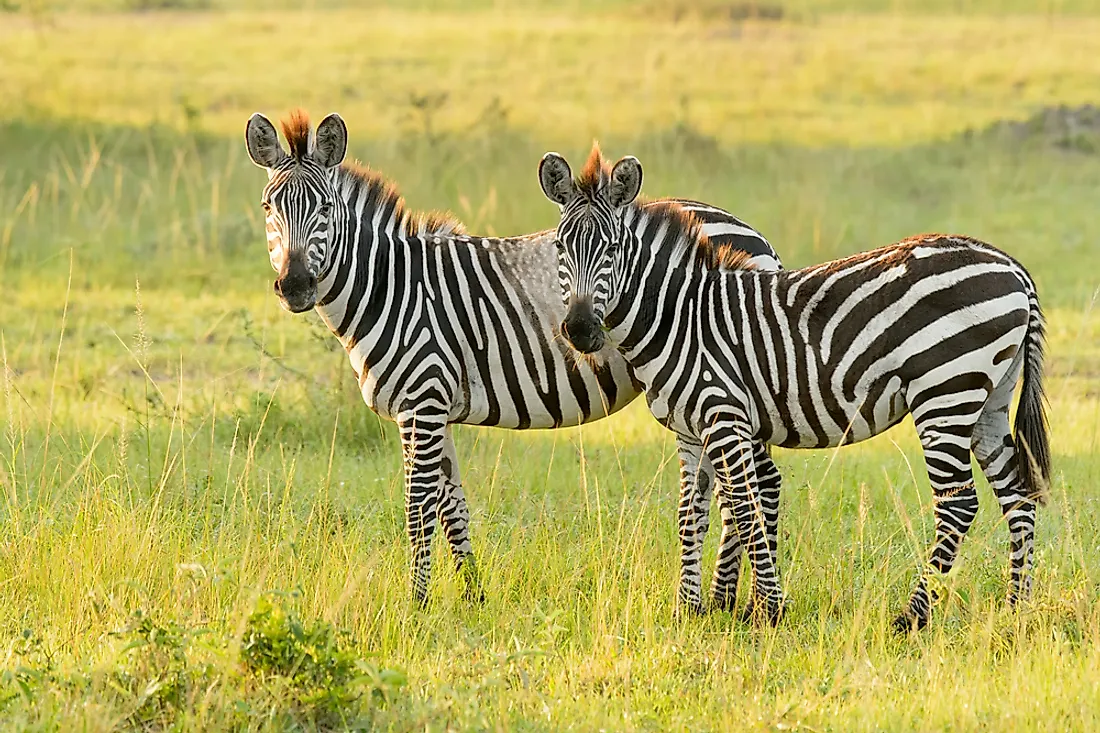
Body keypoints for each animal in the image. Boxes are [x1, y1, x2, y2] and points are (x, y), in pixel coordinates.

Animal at [246, 108, 787, 607]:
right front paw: (473, 597)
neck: (392, 287)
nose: (294, 286)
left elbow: (418, 508)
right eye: (269, 206)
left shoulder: (421, 401)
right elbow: (452, 507)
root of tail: (751, 232)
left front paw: (416, 606)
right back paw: (726, 601)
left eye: (325, 207)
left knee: (759, 485)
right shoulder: (436, 408)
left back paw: (740, 605)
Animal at [536, 144, 1051, 629]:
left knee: (958, 503)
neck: (680, 315)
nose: (580, 330)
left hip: (945, 392)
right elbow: (690, 516)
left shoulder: (724, 415)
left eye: (611, 249)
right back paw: (1016, 611)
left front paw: (768, 610)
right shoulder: (689, 429)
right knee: (1018, 497)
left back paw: (913, 617)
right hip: (988, 401)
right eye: (560, 249)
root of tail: (1012, 267)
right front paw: (688, 609)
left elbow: (745, 511)